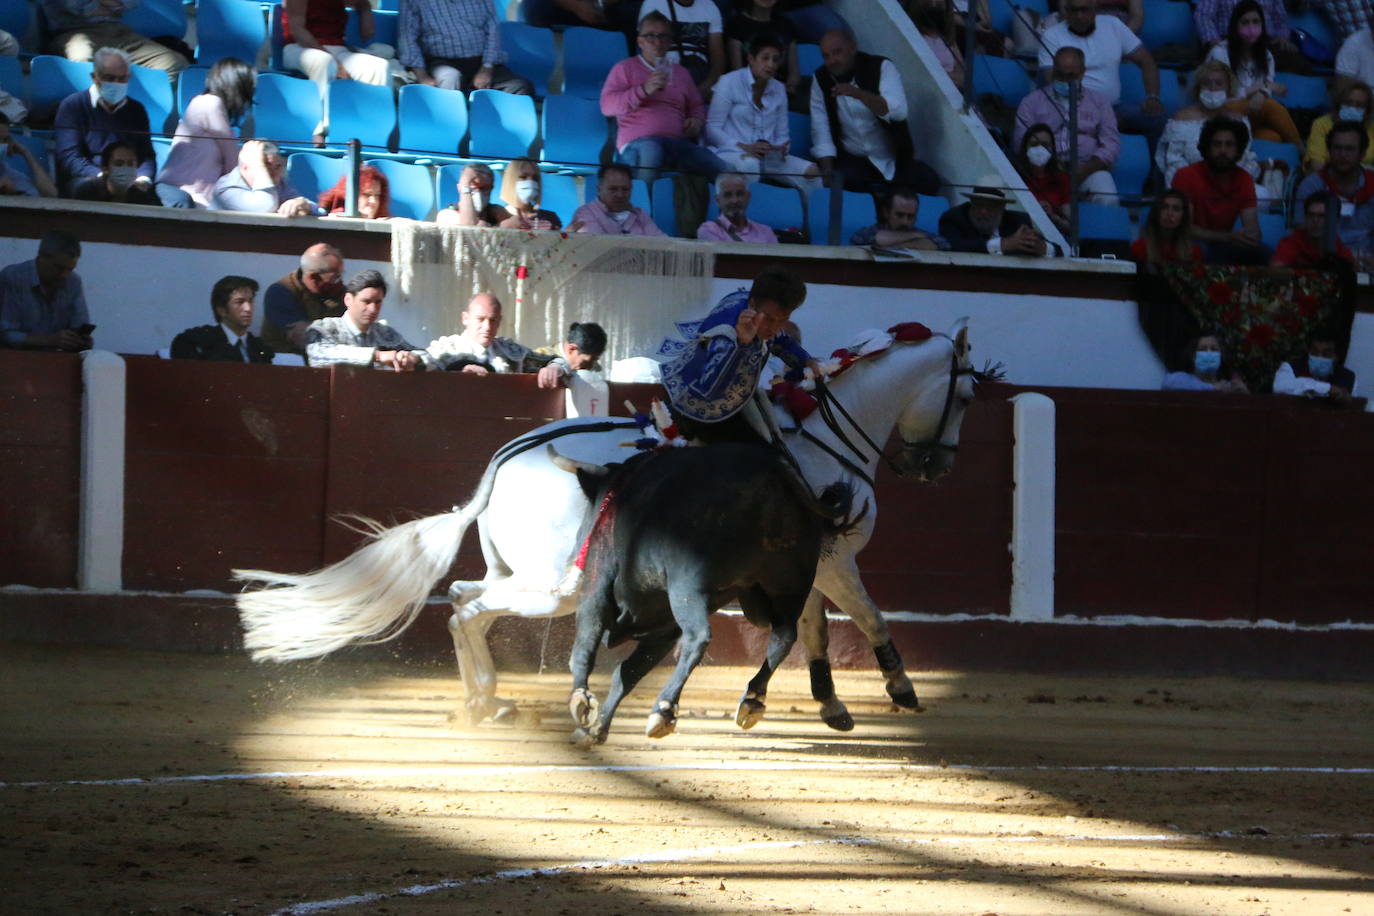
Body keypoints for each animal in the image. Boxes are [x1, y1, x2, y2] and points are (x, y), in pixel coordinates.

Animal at [549, 439, 851, 747]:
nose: (574, 553)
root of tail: (772, 472)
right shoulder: (664, 628)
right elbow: (627, 674)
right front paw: (595, 729)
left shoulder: (595, 594)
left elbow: (584, 650)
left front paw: (582, 704)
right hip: (790, 590)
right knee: (783, 638)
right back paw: (751, 701)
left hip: (687, 590)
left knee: (699, 637)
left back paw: (664, 710)